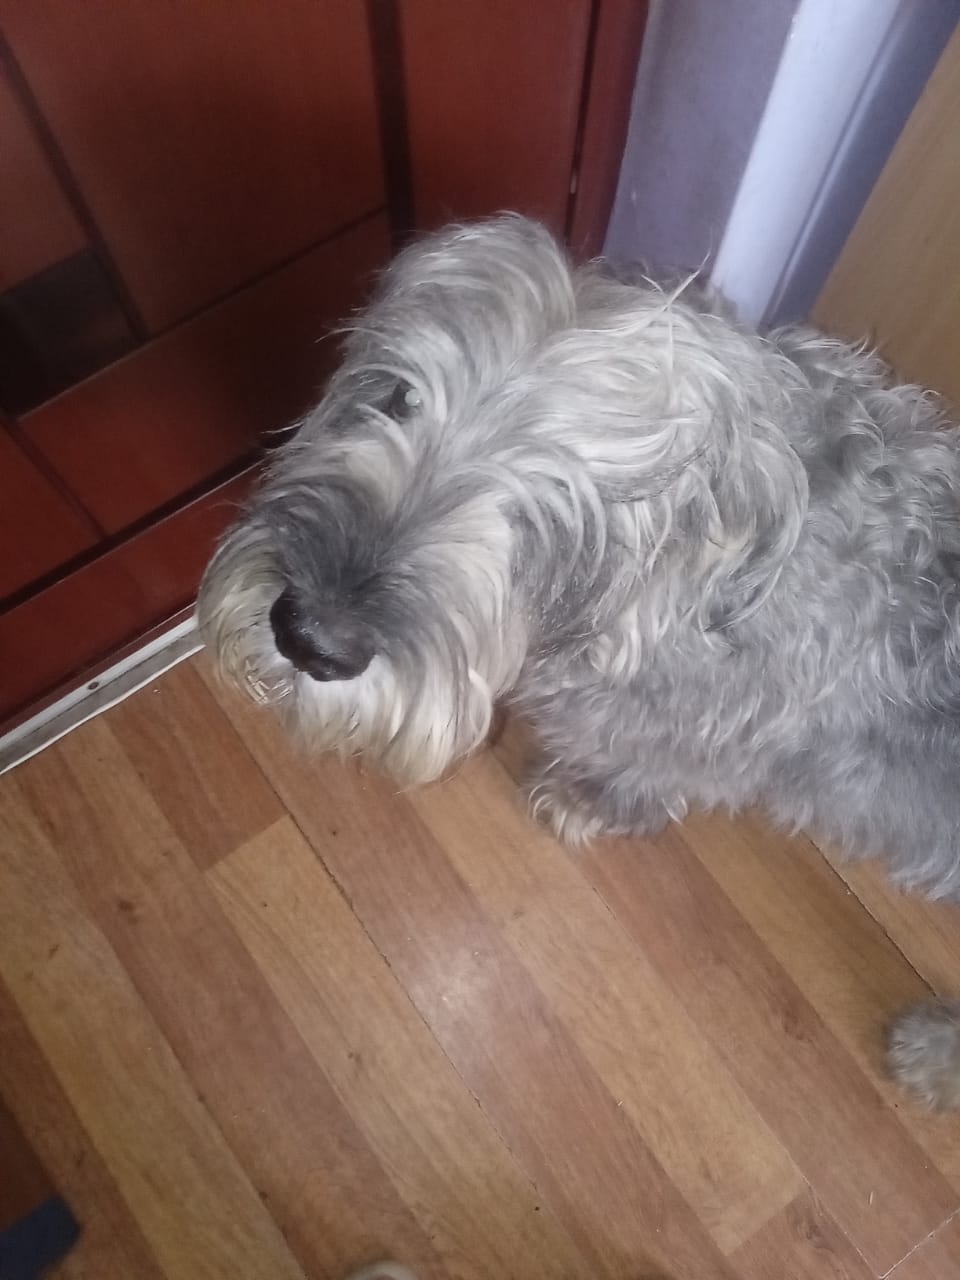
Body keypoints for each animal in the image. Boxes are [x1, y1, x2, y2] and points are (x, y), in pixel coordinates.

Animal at [199, 214, 960, 1109]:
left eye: (551, 504)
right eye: (397, 397)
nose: (308, 636)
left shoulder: (699, 743)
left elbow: (648, 774)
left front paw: (587, 798)